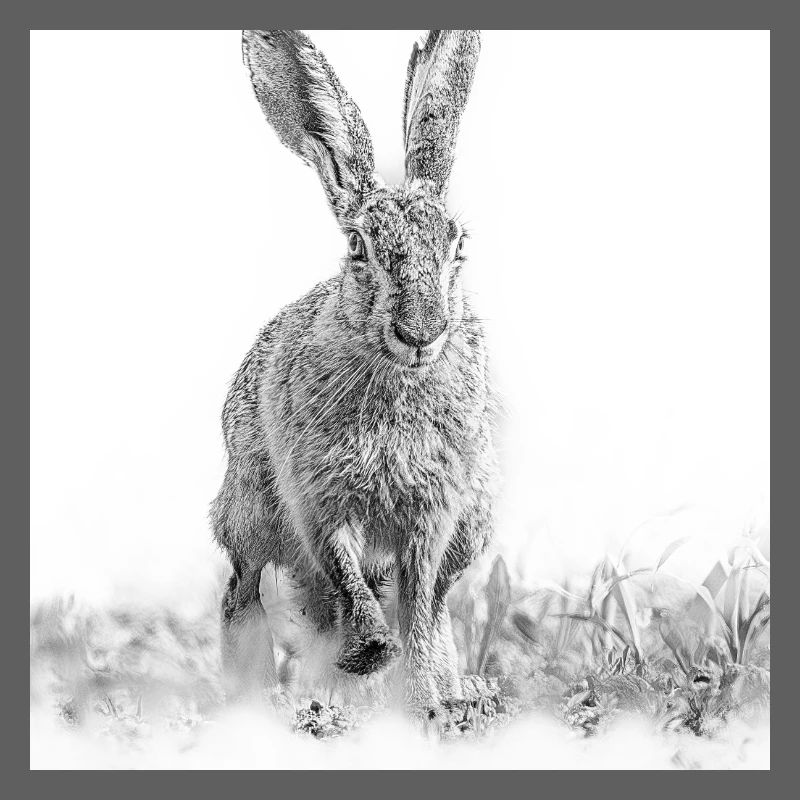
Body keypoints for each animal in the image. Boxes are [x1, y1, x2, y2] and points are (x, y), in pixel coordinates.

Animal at [212, 29, 497, 716]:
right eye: (357, 247)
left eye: (458, 245)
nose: (421, 332)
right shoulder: (318, 499)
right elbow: (346, 578)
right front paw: (368, 656)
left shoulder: (434, 514)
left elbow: (419, 607)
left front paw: (427, 702)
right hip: (249, 510)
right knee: (244, 593)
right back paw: (263, 697)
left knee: (435, 605)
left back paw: (454, 692)